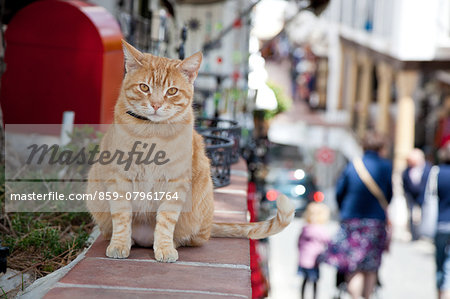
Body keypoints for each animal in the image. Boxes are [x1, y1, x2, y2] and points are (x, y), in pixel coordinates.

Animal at [85, 41, 296, 264]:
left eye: (172, 91)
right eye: (144, 87)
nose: (156, 104)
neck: (152, 133)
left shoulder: (175, 183)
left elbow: (165, 220)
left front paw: (164, 248)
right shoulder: (119, 180)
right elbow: (122, 218)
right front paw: (119, 245)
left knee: (192, 238)